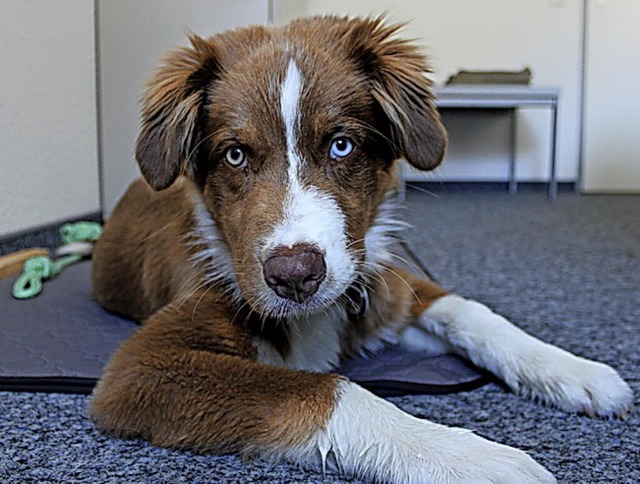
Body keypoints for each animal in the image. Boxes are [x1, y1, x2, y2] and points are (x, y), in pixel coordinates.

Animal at [89, 16, 632, 484]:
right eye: (235, 155)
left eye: (342, 145)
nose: (295, 276)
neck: (314, 315)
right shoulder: (140, 368)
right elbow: (323, 389)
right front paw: (469, 457)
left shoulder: (381, 284)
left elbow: (469, 311)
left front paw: (573, 371)